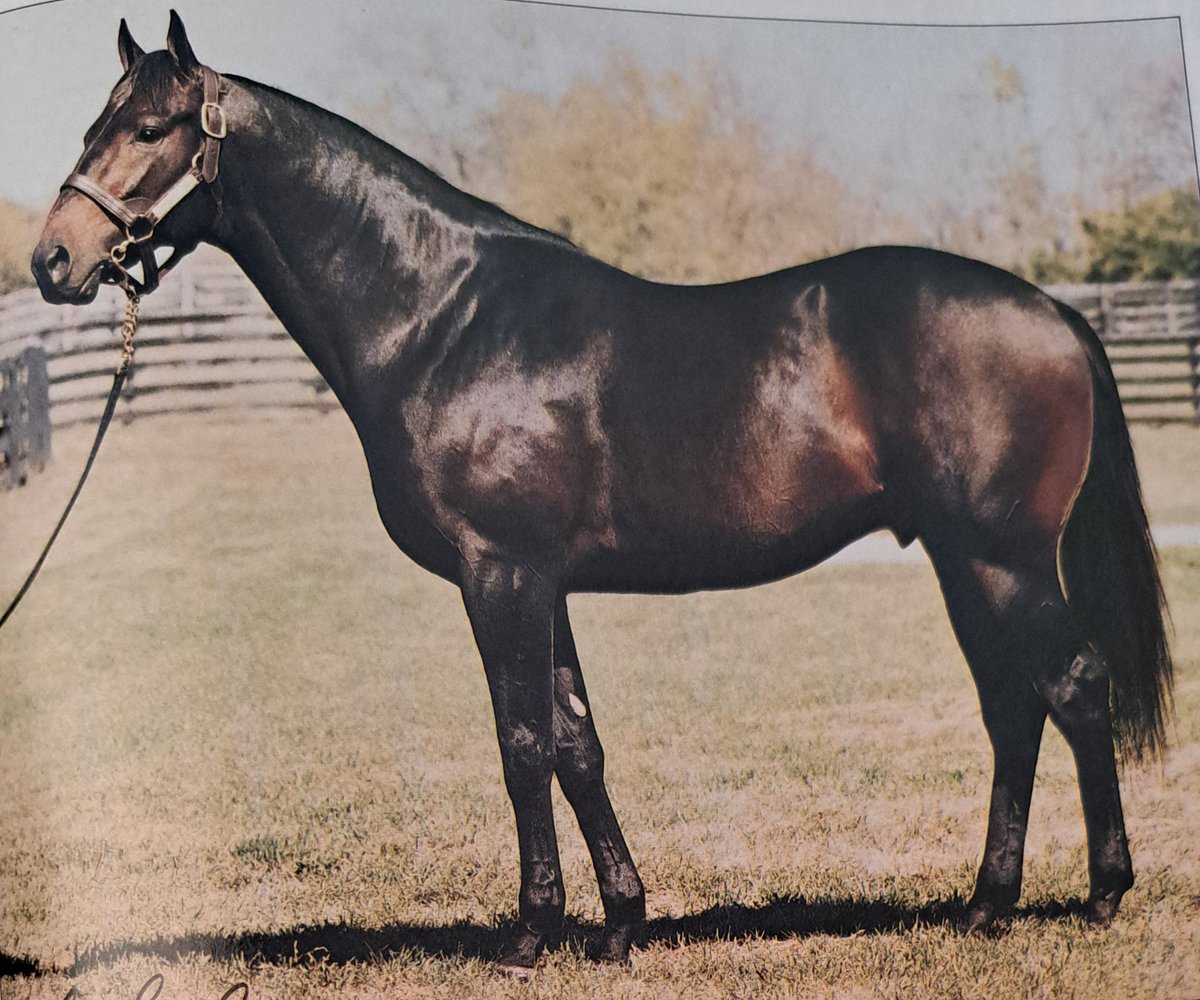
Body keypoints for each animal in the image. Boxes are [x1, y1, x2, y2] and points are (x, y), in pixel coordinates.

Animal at [31, 12, 1171, 975]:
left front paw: (530, 935)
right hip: (959, 557)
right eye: (93, 124)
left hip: (1001, 555)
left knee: (1072, 684)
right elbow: (578, 743)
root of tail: (1056, 313)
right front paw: (620, 923)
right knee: (1013, 703)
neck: (444, 317)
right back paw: (986, 905)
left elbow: (522, 743)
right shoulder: (544, 582)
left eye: (149, 128)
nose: (53, 259)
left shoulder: (500, 575)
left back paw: (1102, 892)